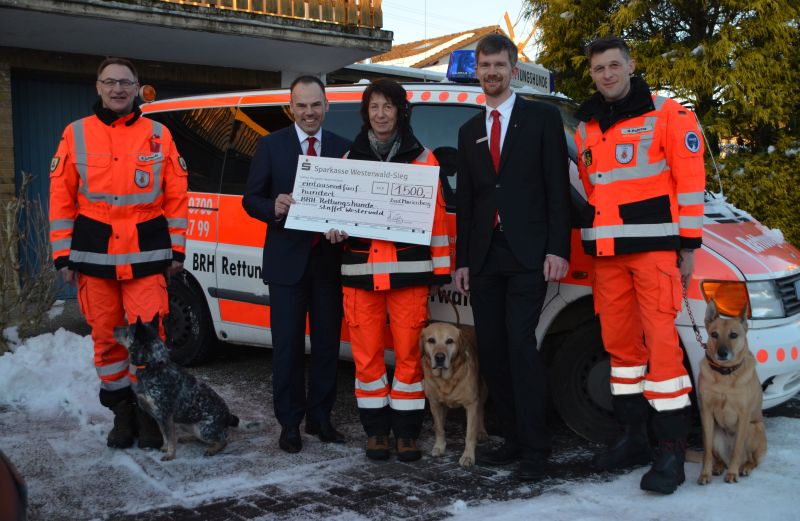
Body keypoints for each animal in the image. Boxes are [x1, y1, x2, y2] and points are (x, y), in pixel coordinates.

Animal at [113, 312, 238, 460]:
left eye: (127, 329)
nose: (114, 328)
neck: (153, 366)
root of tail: (228, 417)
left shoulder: (166, 415)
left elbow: (170, 437)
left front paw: (170, 454)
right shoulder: (158, 416)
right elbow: (164, 435)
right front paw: (164, 448)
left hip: (204, 429)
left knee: (223, 440)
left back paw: (212, 449)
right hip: (187, 424)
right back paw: (187, 438)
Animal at [418, 322, 488, 466]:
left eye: (449, 341)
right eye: (431, 340)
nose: (439, 357)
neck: (446, 379)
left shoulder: (471, 404)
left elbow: (470, 434)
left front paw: (468, 456)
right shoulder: (434, 402)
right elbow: (440, 429)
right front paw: (439, 446)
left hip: (483, 387)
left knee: (481, 409)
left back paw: (481, 431)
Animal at [696, 298, 764, 486]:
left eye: (733, 335)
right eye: (714, 334)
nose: (722, 353)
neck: (725, 375)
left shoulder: (743, 415)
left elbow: (738, 450)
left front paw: (733, 473)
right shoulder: (706, 413)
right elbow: (706, 452)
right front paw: (705, 474)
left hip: (752, 428)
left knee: (751, 460)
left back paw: (744, 467)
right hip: (715, 434)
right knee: (716, 455)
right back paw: (718, 466)